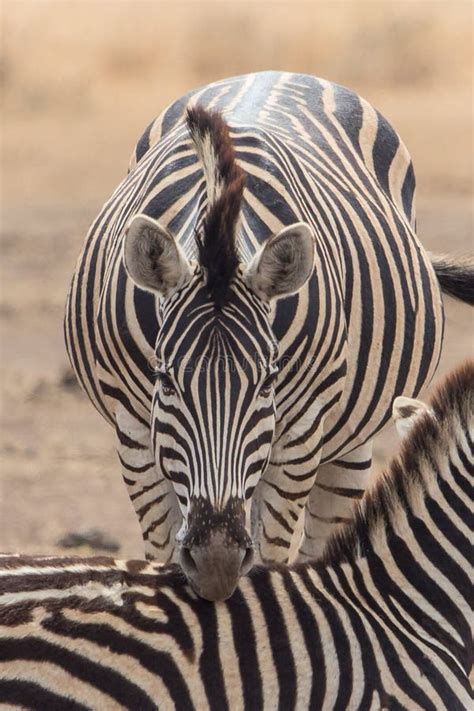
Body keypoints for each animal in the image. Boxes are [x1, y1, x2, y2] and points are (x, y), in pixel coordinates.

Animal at [65, 71, 472, 600]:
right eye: (165, 379)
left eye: (267, 382)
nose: (216, 561)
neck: (218, 222)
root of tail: (278, 74)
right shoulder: (134, 432)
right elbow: (162, 549)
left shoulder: (299, 438)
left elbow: (272, 557)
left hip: (350, 443)